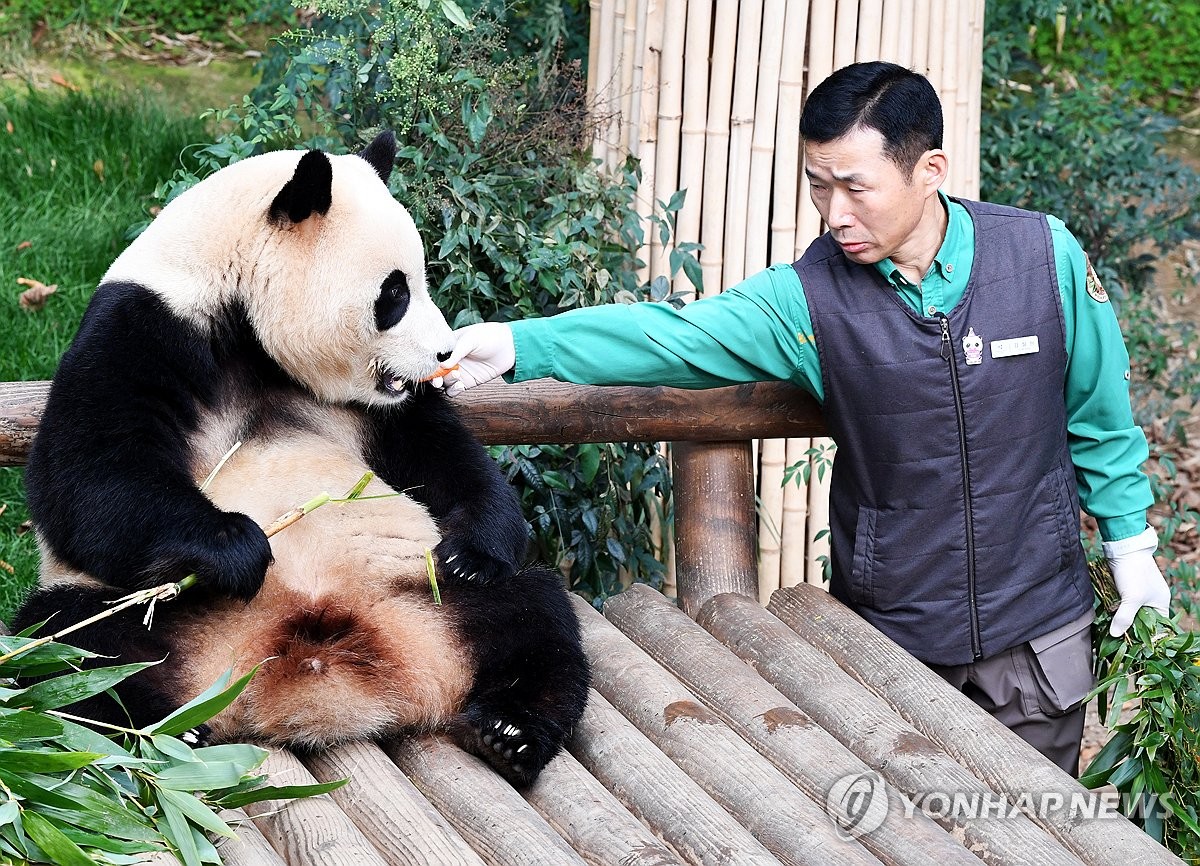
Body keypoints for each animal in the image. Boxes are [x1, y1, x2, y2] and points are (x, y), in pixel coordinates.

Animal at [9, 130, 590, 782]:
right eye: (394, 292)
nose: (444, 353)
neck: (240, 316)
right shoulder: (142, 329)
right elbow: (85, 478)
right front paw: (237, 546)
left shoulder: (378, 406)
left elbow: (444, 458)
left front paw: (472, 549)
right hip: (153, 614)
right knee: (68, 646)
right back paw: (161, 731)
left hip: (422, 591)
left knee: (535, 613)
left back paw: (509, 732)